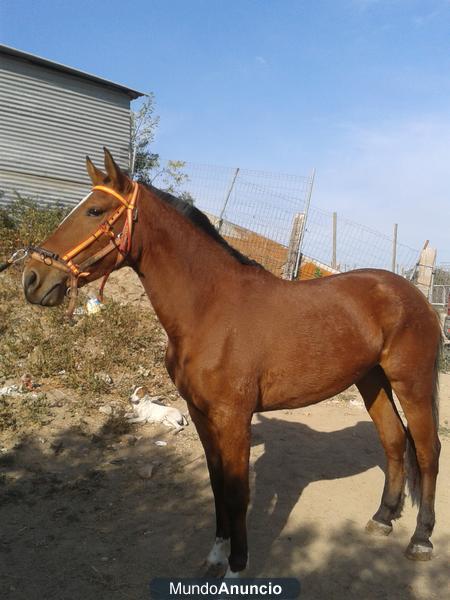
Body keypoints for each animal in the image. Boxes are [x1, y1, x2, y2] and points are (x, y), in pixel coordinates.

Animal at [22, 149, 442, 576]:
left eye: (95, 210)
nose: (32, 278)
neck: (211, 309)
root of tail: (415, 297)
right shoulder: (200, 414)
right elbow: (217, 484)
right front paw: (215, 555)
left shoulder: (233, 417)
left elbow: (238, 492)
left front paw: (236, 567)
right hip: (372, 380)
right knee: (394, 441)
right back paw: (383, 518)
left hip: (412, 383)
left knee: (428, 451)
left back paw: (421, 539)